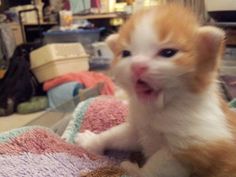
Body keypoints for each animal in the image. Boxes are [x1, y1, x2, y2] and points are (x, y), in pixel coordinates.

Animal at [75, 3, 236, 177]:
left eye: (168, 52)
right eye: (126, 53)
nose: (137, 66)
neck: (158, 110)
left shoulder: (194, 146)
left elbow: (157, 165)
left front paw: (134, 171)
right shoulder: (138, 128)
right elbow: (117, 134)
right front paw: (93, 142)